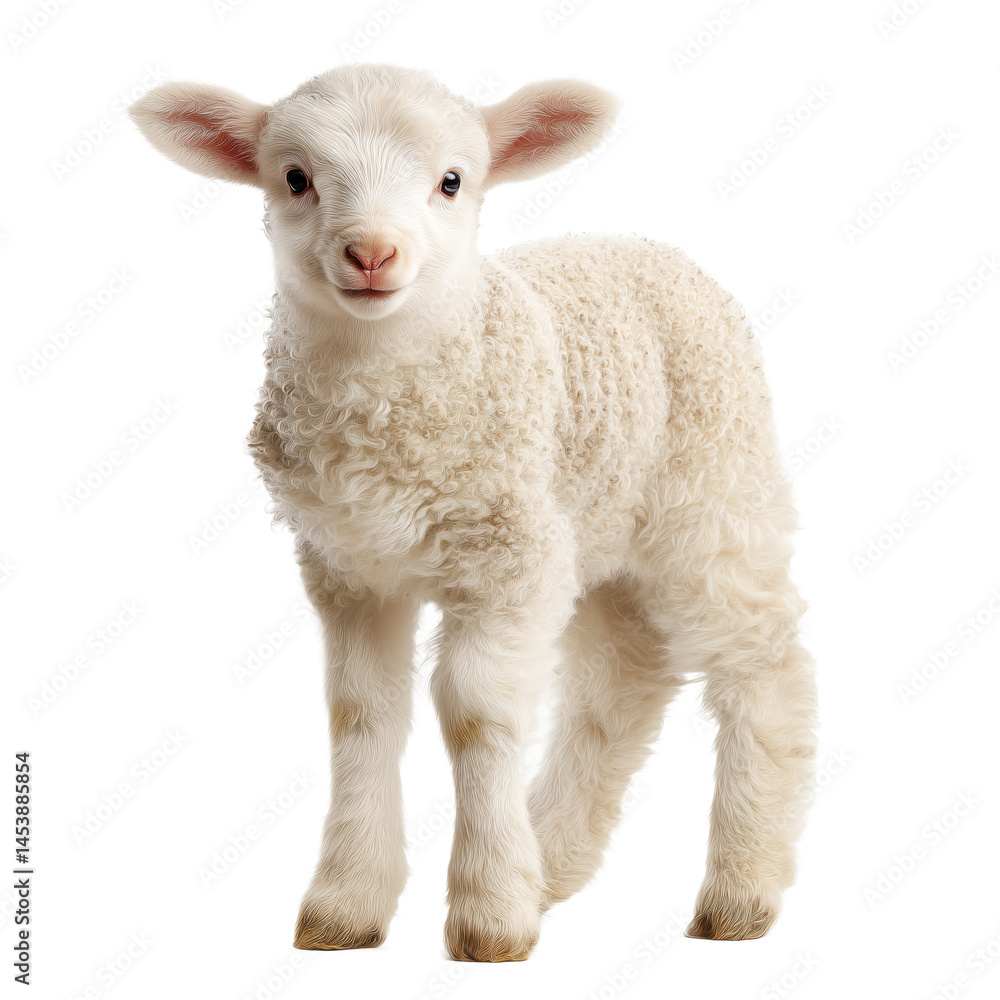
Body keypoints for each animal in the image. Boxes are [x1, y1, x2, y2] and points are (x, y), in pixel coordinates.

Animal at [129, 63, 817, 962]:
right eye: (296, 178)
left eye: (452, 182)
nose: (372, 253)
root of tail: (650, 248)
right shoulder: (349, 567)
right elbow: (362, 714)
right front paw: (347, 906)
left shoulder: (503, 555)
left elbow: (475, 712)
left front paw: (490, 915)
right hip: (591, 518)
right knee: (621, 681)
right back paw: (549, 860)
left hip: (712, 489)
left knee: (762, 663)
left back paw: (740, 890)